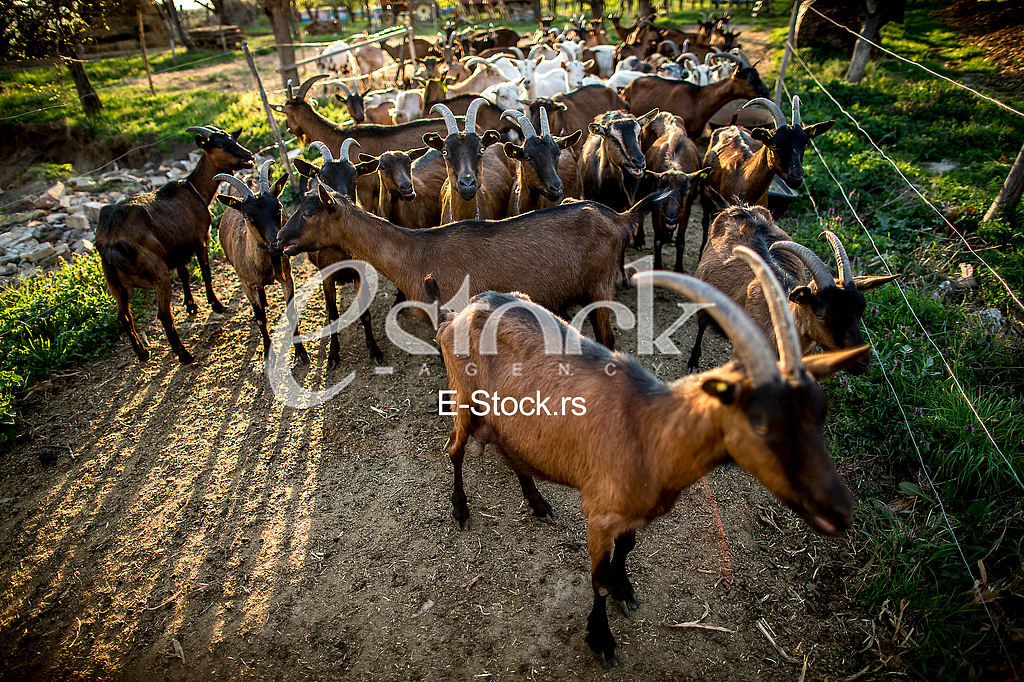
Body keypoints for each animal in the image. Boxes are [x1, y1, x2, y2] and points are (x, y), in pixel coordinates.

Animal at [97, 125, 253, 364]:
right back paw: (184, 354)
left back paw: (142, 352)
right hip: (158, 271)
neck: (194, 190)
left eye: (233, 139)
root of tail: (109, 242)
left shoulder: (176, 249)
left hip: (113, 282)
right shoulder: (200, 237)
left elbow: (184, 274)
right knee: (163, 314)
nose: (249, 157)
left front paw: (191, 306)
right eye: (220, 145)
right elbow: (205, 271)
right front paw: (216, 304)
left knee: (123, 316)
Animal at [214, 161, 308, 364]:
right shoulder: (246, 284)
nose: (276, 243)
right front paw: (267, 353)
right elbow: (260, 319)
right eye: (248, 217)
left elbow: (291, 312)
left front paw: (301, 352)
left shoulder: (287, 276)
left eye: (278, 208)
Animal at [433, 250, 867, 667]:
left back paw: (538, 503)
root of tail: (457, 315)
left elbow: (626, 550)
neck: (649, 427)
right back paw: (461, 510)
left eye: (821, 410)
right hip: (465, 399)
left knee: (510, 452)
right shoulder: (599, 512)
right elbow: (598, 578)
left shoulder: (634, 511)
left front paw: (625, 591)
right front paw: (601, 639)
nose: (840, 509)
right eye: (760, 421)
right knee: (454, 449)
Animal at [688, 202, 895, 374]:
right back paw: (693, 362)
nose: (862, 364)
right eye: (820, 313)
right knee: (702, 324)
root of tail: (742, 208)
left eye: (861, 308)